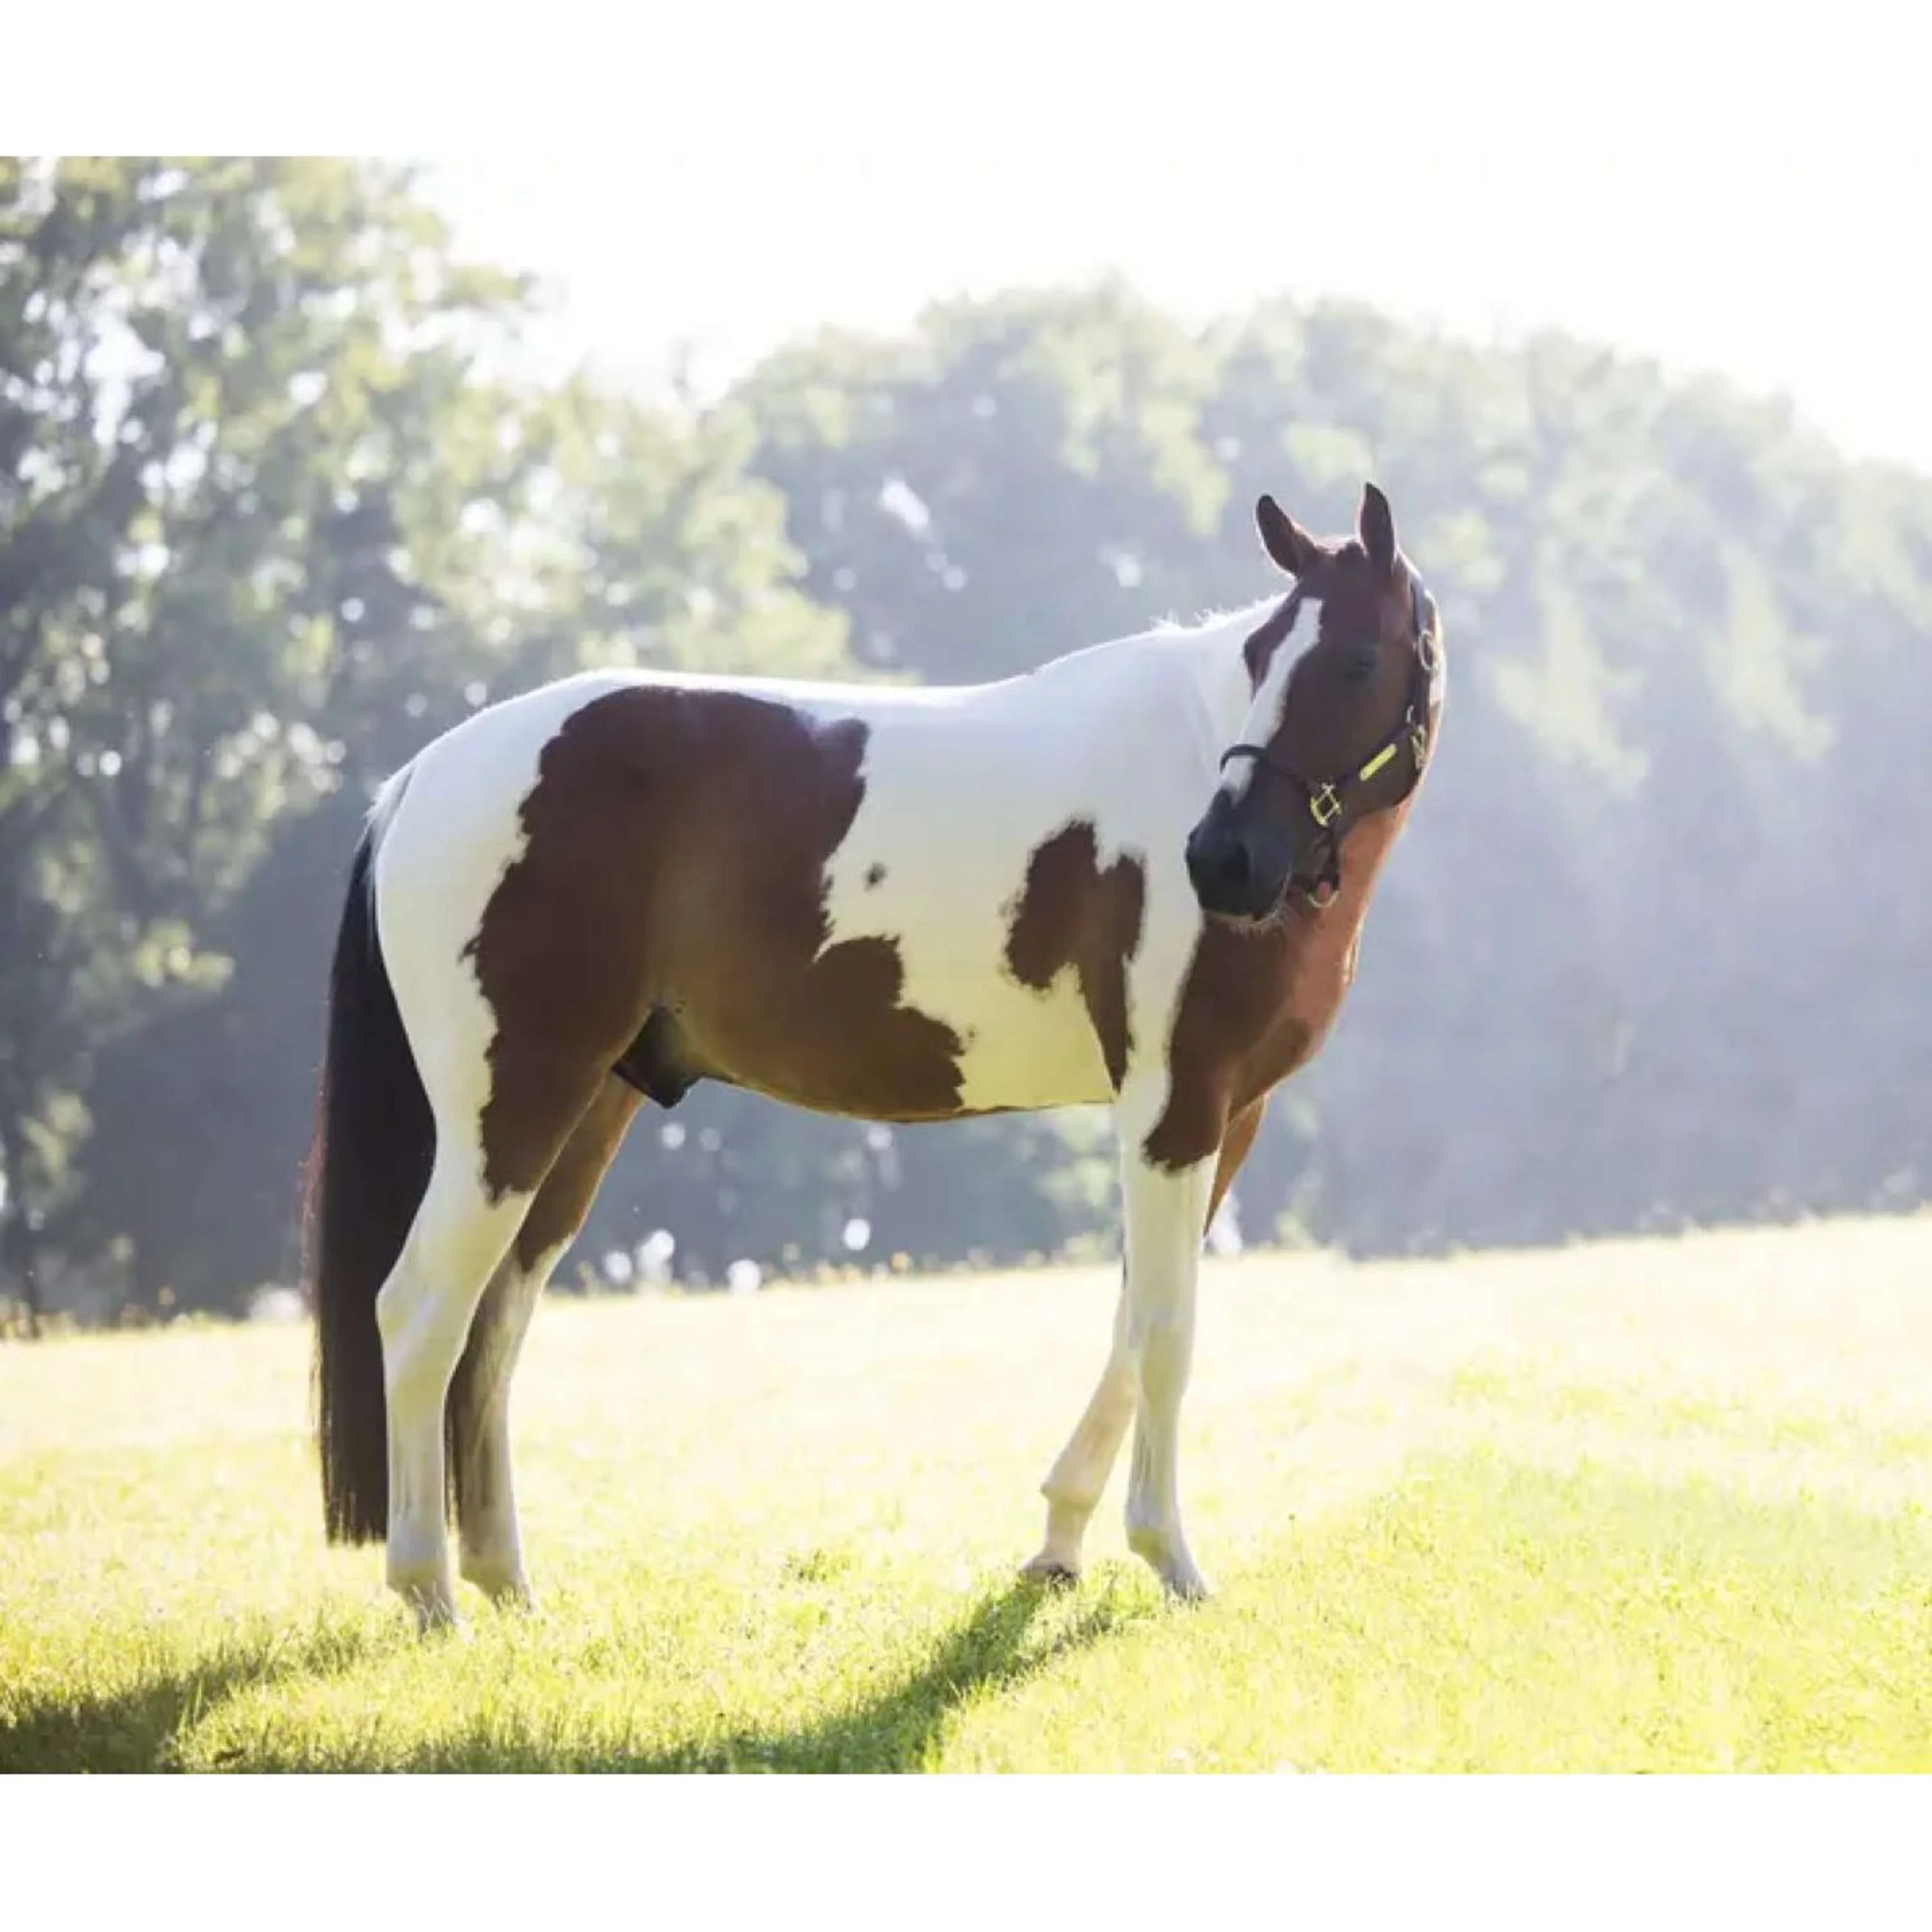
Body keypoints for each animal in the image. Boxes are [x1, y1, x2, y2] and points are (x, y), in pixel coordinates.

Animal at [308, 480, 1446, 1630]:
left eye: (1355, 660)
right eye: (1262, 656)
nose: (1222, 859)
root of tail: (422, 778)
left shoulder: (1223, 1116)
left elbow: (1129, 1325)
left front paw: (1060, 1544)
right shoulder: (1175, 1109)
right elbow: (1167, 1331)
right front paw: (1170, 1561)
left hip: (583, 1112)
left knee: (494, 1323)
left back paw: (508, 1588)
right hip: (507, 1108)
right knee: (421, 1313)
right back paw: (429, 1595)